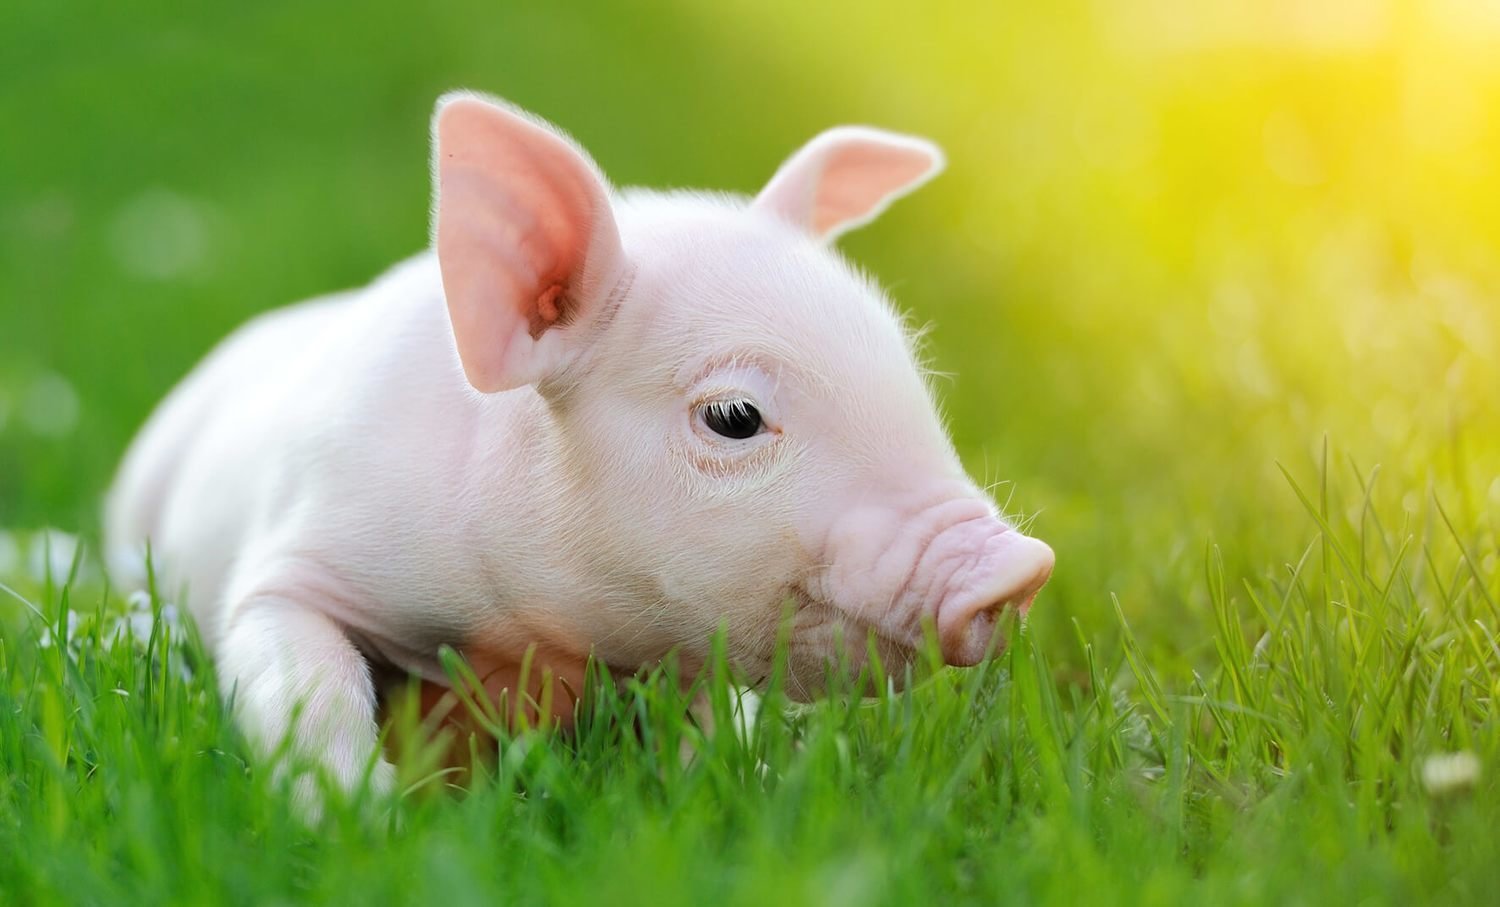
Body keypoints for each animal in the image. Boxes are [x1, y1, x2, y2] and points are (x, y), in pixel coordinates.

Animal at [105, 91, 1056, 795]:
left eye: (909, 372)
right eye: (734, 415)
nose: (1020, 567)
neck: (533, 629)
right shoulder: (294, 554)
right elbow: (302, 681)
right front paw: (365, 821)